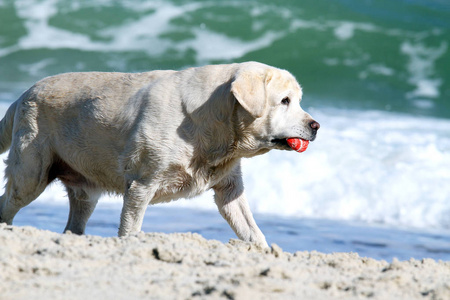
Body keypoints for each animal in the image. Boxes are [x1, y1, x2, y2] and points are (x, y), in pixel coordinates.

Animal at [0, 62, 318, 247]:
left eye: (298, 100)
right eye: (284, 101)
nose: (315, 126)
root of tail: (22, 94)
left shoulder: (229, 188)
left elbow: (251, 230)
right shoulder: (142, 184)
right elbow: (130, 227)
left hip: (85, 190)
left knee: (74, 222)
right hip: (30, 174)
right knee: (8, 203)